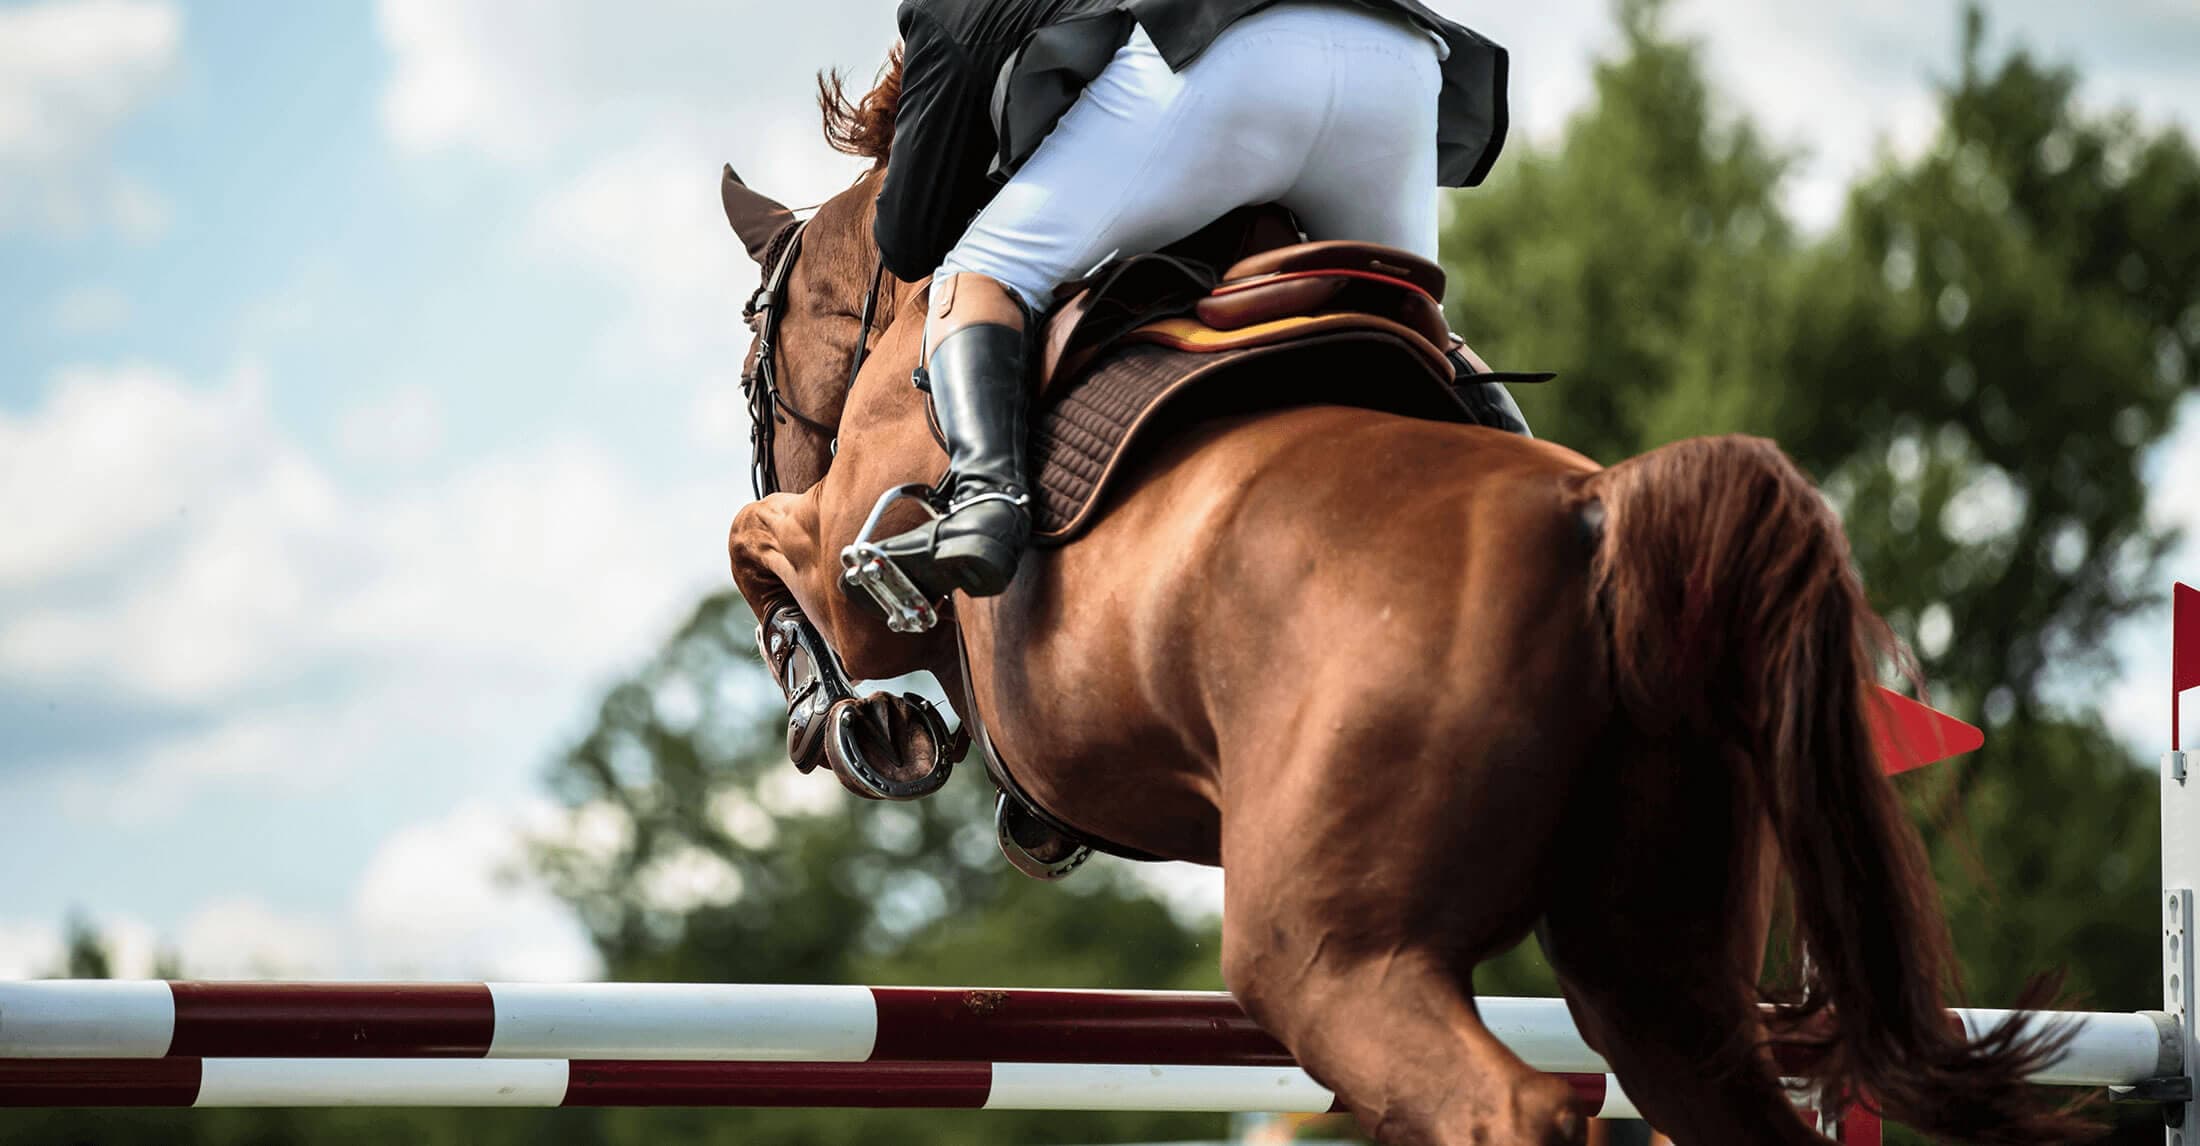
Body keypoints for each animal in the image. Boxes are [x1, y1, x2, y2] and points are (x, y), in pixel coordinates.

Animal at [717, 80, 2084, 1146]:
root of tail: (1600, 520)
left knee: (1506, 1105)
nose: (772, 431)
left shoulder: (857, 568)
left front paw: (850, 723)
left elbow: (758, 544)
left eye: (751, 366)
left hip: (1330, 955)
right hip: (1656, 964)